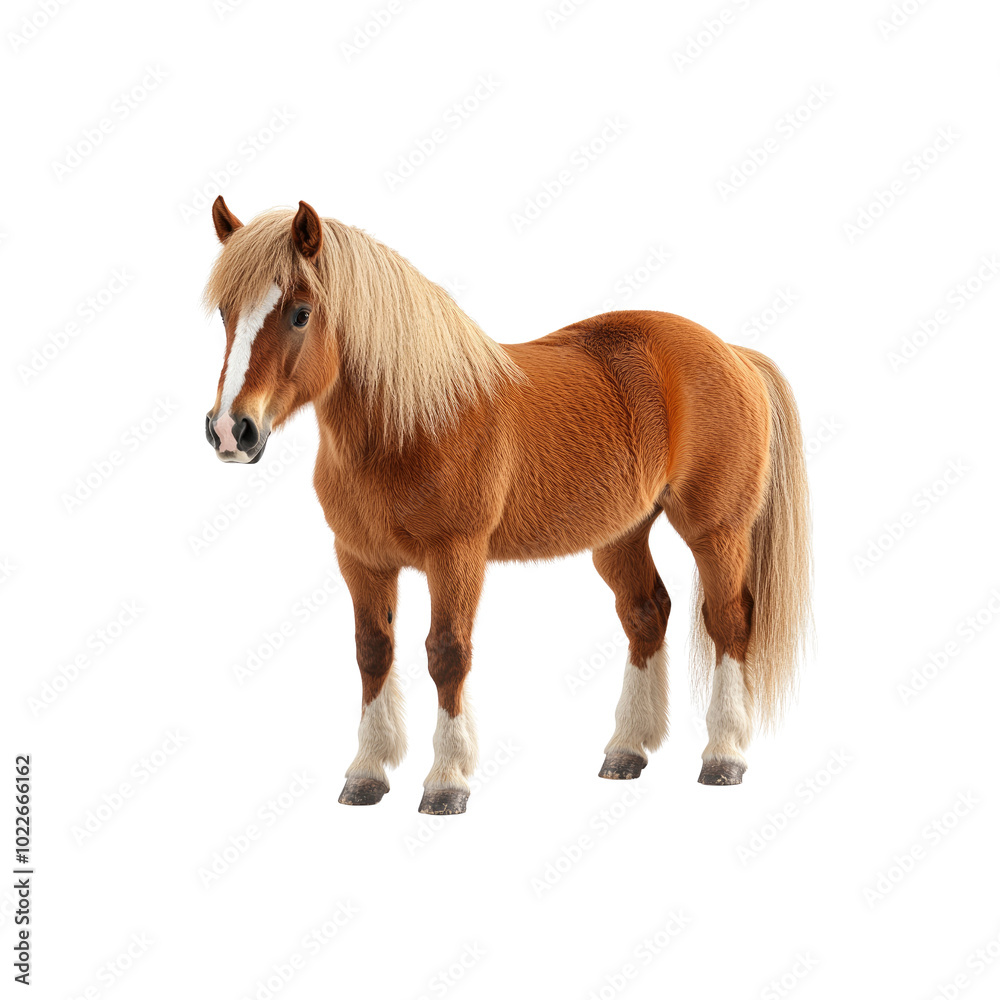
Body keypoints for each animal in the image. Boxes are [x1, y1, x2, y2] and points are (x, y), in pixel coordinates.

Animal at [203, 196, 812, 815]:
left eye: (301, 313)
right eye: (226, 311)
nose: (231, 430)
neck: (411, 421)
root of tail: (734, 353)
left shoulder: (457, 556)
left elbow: (447, 653)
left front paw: (446, 780)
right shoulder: (360, 559)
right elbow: (373, 651)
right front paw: (367, 772)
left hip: (717, 530)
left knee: (729, 619)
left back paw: (724, 754)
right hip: (621, 535)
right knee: (647, 613)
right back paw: (626, 749)